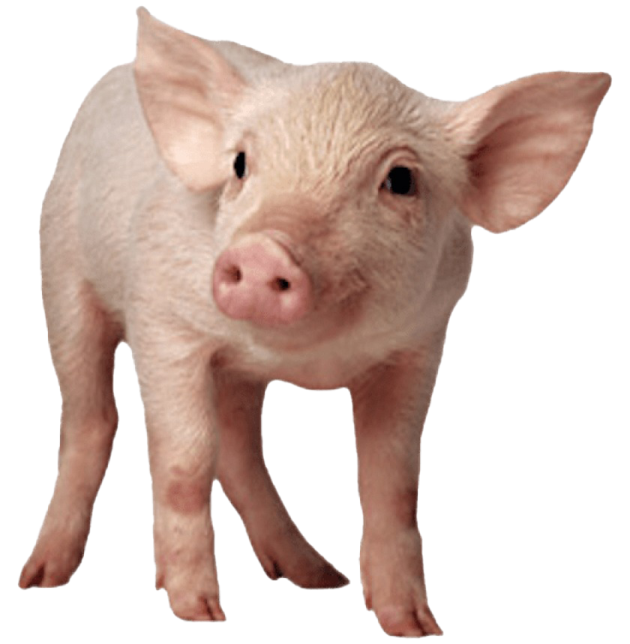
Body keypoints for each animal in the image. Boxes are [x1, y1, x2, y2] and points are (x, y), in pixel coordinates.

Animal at [18, 6, 611, 637]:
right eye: (240, 165)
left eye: (400, 180)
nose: (264, 251)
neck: (307, 358)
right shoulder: (162, 316)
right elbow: (185, 459)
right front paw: (199, 613)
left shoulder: (420, 344)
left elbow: (392, 480)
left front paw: (414, 626)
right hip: (61, 274)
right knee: (91, 415)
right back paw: (43, 577)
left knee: (239, 446)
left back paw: (317, 577)